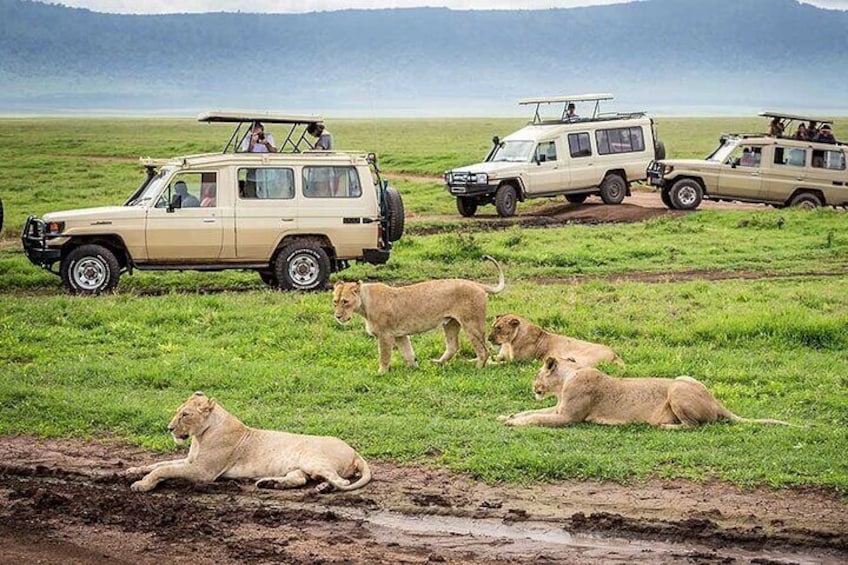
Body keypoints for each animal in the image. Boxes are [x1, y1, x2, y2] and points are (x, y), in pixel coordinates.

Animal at [128, 392, 372, 494]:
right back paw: (271, 484)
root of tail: (354, 451)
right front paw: (132, 471)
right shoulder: (190, 461)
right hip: (300, 467)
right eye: (178, 411)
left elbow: (164, 470)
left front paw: (142, 485)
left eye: (185, 415)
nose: (169, 428)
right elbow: (158, 464)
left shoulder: (203, 471)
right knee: (300, 479)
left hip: (313, 460)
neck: (200, 436)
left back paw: (323, 488)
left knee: (342, 481)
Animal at [332, 254, 504, 370]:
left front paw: (381, 373)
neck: (364, 304)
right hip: (450, 323)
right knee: (453, 346)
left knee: (484, 350)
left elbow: (384, 356)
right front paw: (413, 368)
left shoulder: (385, 334)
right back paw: (438, 363)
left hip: (471, 323)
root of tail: (478, 284)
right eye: (335, 301)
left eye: (345, 302)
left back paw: (479, 368)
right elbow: (408, 353)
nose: (337, 316)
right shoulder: (399, 334)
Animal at [486, 312, 620, 366]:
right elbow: (492, 358)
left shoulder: (518, 361)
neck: (508, 342)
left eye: (499, 328)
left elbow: (499, 363)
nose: (488, 339)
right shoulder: (502, 355)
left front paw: (488, 364)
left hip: (587, 357)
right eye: (493, 326)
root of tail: (615, 354)